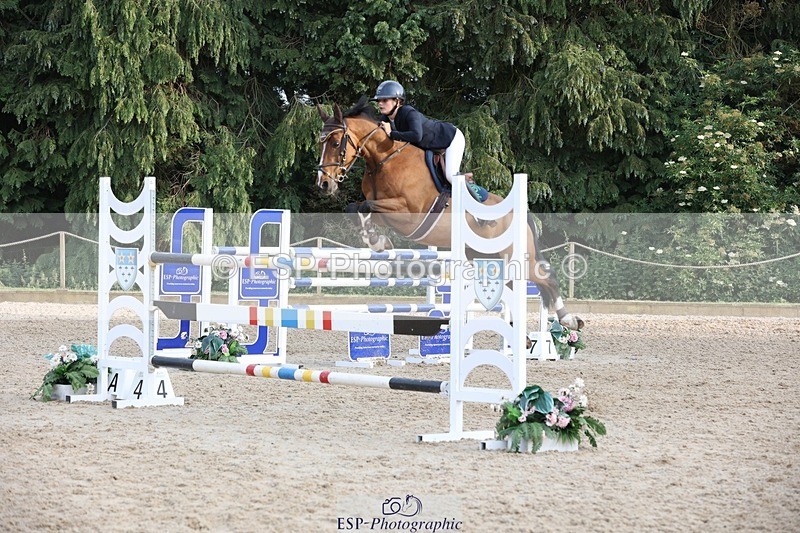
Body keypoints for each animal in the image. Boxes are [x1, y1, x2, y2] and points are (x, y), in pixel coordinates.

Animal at [315, 96, 583, 330]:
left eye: (336, 143)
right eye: (321, 142)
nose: (324, 184)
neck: (385, 159)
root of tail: (520, 213)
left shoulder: (408, 213)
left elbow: (365, 206)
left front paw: (377, 241)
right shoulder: (384, 209)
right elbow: (357, 208)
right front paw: (376, 240)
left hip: (516, 256)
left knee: (547, 277)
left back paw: (568, 320)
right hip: (484, 255)